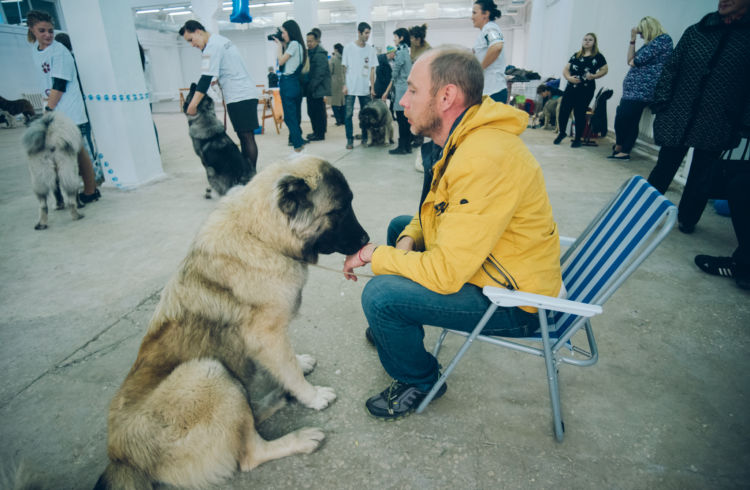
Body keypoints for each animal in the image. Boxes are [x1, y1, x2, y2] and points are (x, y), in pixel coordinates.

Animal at [95, 157, 372, 490]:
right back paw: (300, 437)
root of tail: (121, 458)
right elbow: (289, 370)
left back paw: (275, 399)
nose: (367, 240)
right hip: (209, 372)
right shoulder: (266, 336)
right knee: (249, 453)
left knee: (248, 416)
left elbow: (288, 362)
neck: (260, 235)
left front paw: (299, 365)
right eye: (339, 210)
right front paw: (312, 395)